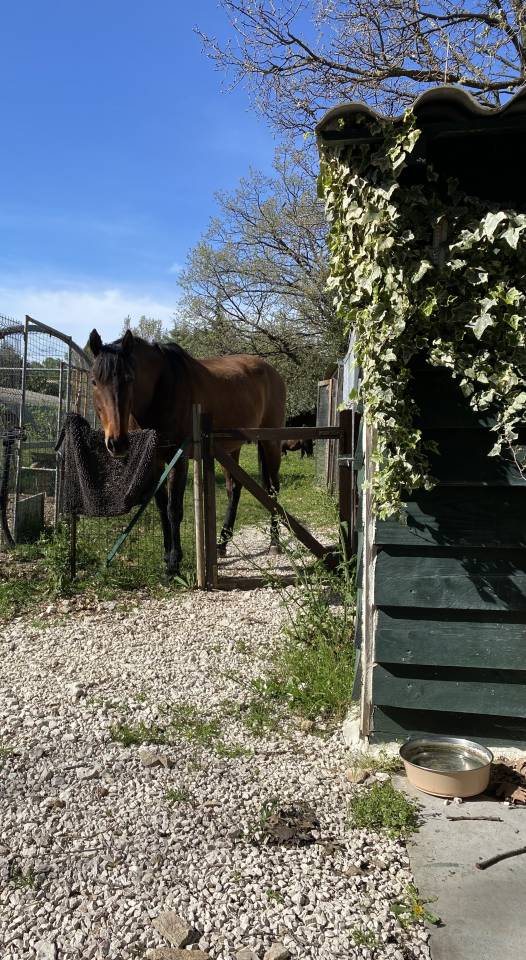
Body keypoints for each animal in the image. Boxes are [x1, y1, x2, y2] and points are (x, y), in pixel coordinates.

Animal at [88, 329, 286, 577]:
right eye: (94, 381)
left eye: (129, 379)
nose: (117, 443)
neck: (162, 388)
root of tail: (272, 371)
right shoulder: (154, 460)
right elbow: (162, 507)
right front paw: (166, 555)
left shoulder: (178, 458)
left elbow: (174, 509)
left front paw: (174, 563)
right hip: (230, 448)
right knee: (234, 489)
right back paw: (222, 544)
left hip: (271, 442)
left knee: (272, 490)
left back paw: (274, 543)